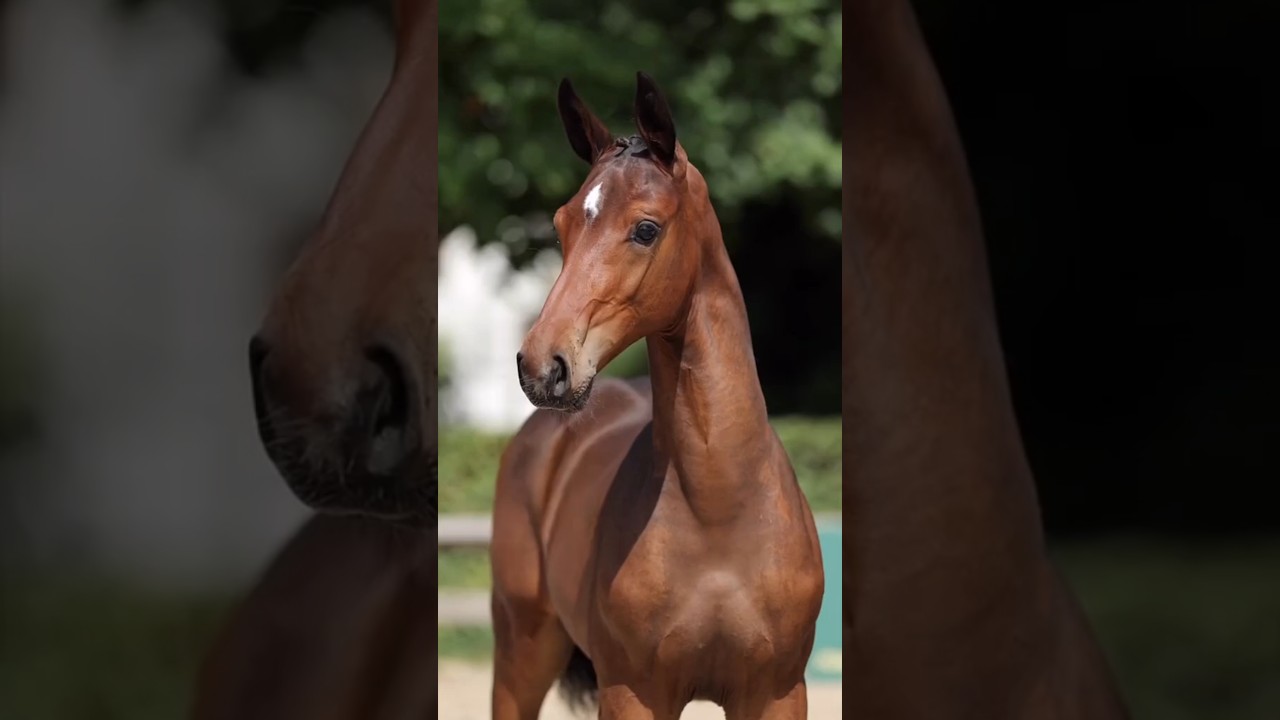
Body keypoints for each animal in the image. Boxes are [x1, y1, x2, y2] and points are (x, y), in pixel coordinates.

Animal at [489, 72, 825, 720]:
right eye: (562, 226)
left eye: (646, 229)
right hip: (522, 653)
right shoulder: (632, 693)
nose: (542, 366)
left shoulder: (777, 693)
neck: (719, 512)